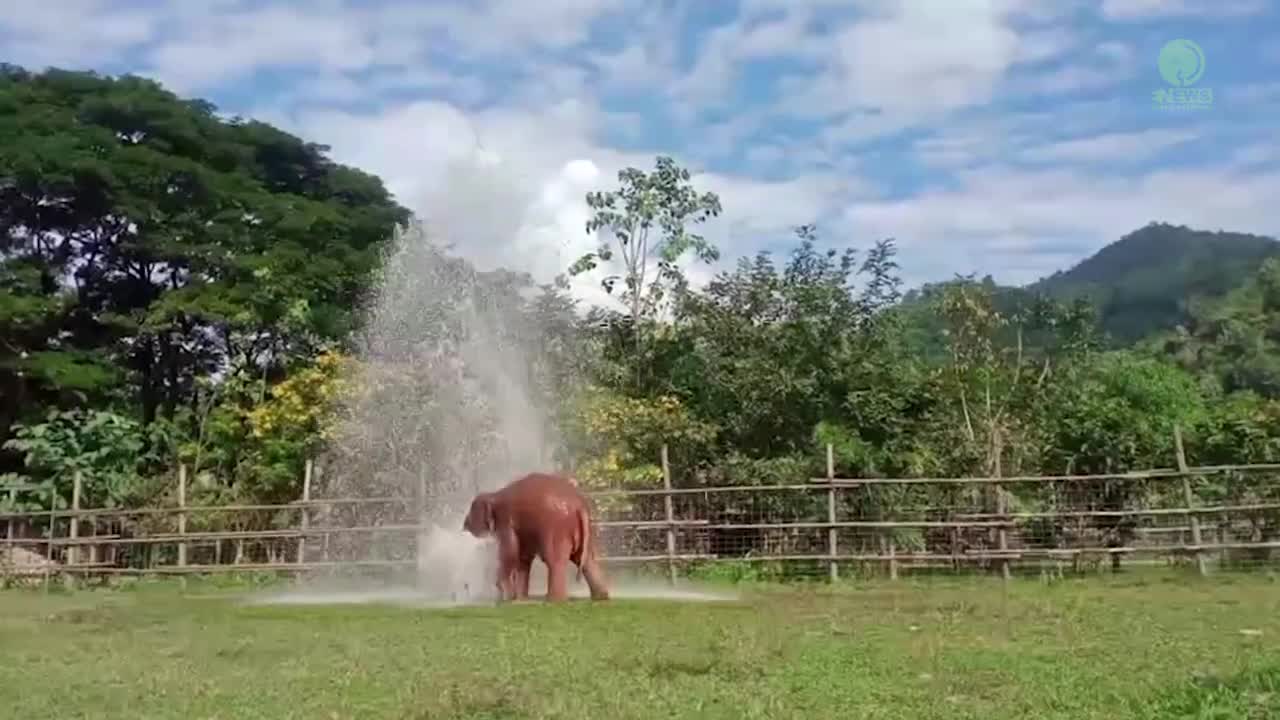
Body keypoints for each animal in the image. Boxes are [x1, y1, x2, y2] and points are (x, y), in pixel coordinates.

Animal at [463, 471, 611, 599]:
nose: (463, 526)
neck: (494, 494)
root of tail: (579, 505)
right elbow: (522, 557)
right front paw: (520, 599)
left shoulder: (505, 521)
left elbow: (510, 552)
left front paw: (506, 597)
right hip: (585, 530)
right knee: (587, 561)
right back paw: (600, 597)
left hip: (555, 528)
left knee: (554, 561)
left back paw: (553, 600)